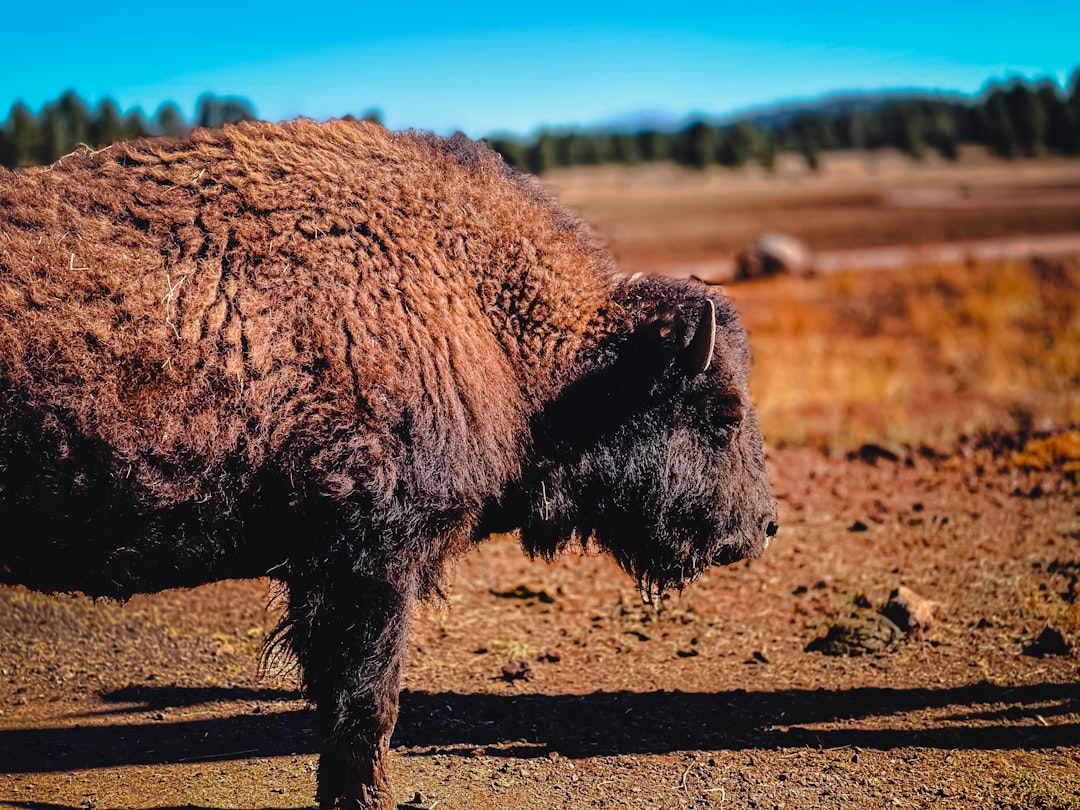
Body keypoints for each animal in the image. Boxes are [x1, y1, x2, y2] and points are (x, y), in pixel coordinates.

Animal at [0, 120, 777, 810]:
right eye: (721, 411)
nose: (763, 526)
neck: (485, 314)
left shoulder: (325, 570)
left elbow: (337, 698)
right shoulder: (372, 557)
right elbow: (368, 697)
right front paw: (369, 798)